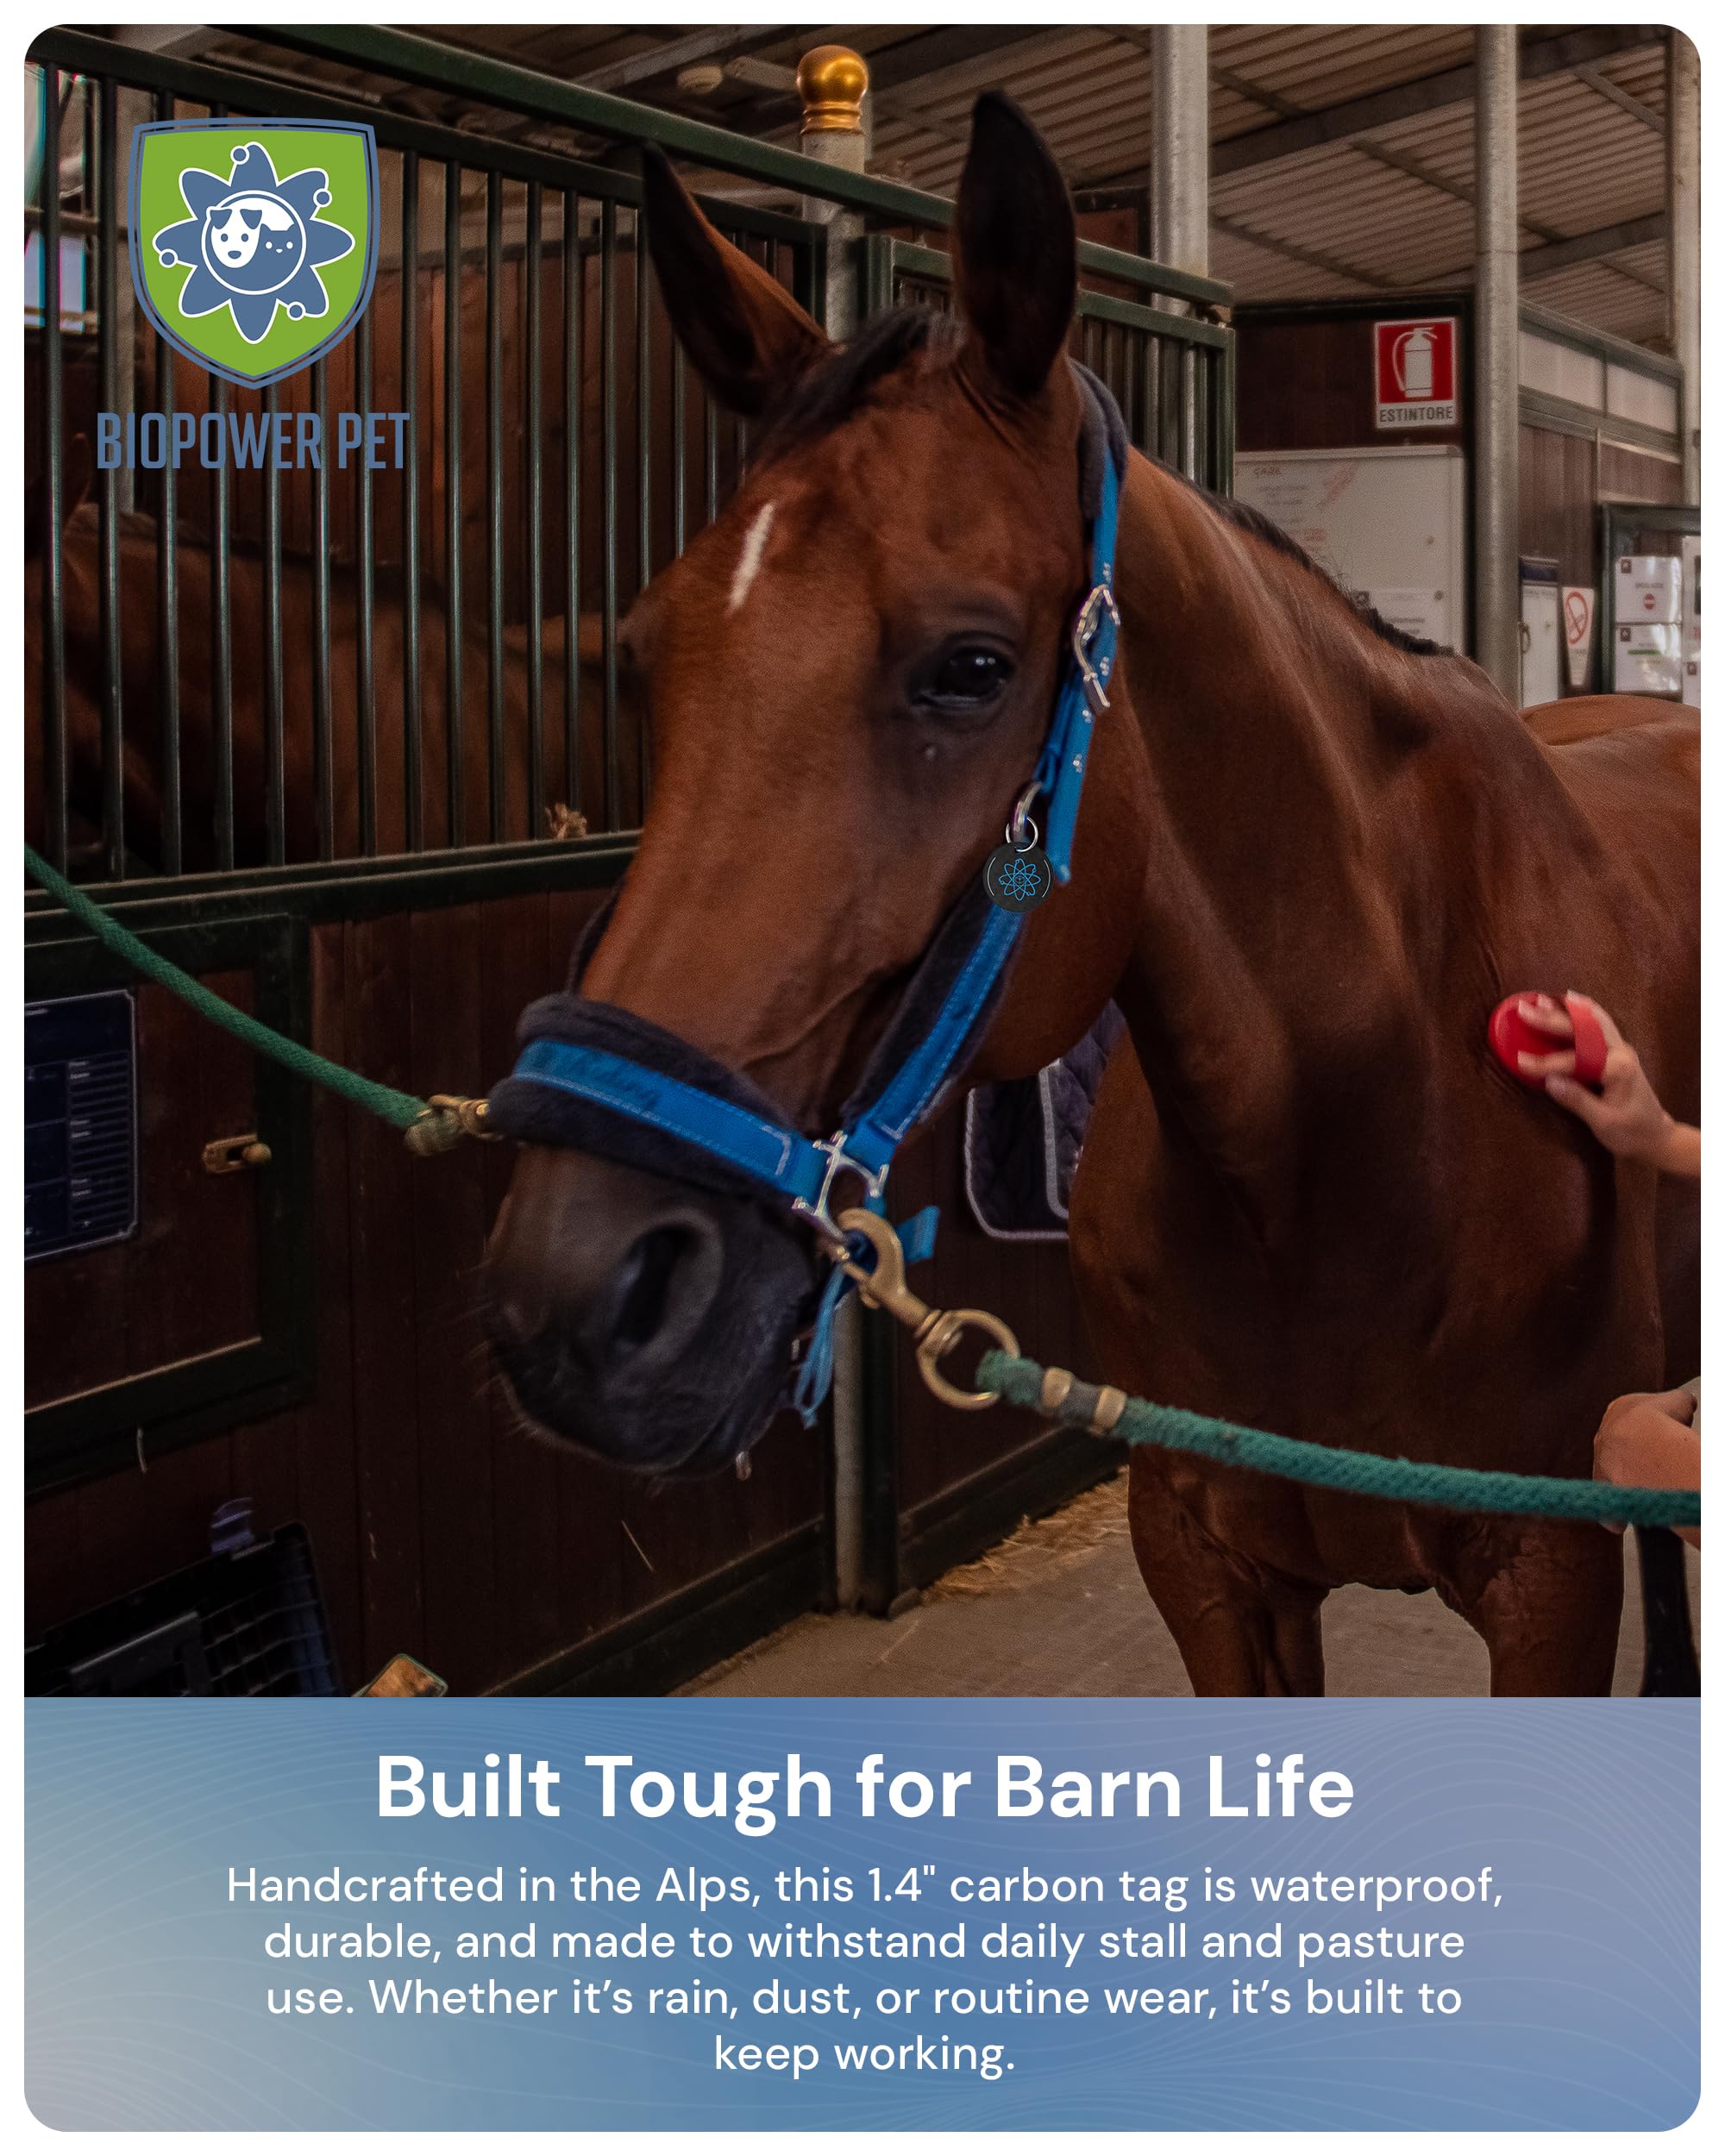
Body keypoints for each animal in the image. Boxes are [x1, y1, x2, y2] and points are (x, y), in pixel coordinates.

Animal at [480, 95, 1699, 1698]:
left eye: (972, 665)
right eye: (640, 656)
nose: (576, 1291)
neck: (1351, 1126)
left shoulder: (1548, 1576)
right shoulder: (1202, 1556)